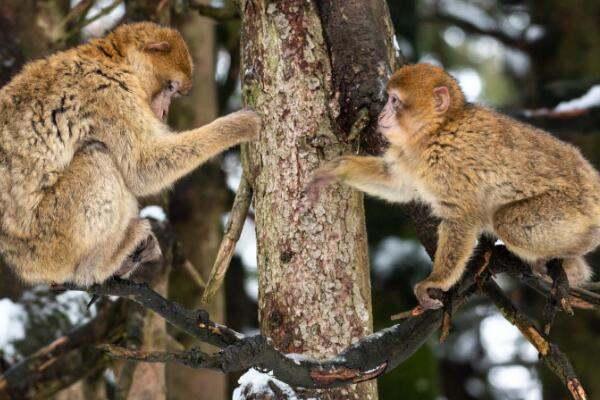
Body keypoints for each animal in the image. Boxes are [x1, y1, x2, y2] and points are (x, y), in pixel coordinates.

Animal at [0, 22, 262, 288]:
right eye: (170, 87)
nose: (164, 111)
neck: (113, 60)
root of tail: (26, 268)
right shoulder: (110, 93)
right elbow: (141, 167)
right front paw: (238, 126)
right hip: (52, 239)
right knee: (98, 156)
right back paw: (97, 265)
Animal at [310, 64, 600, 310]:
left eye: (394, 101)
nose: (381, 114)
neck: (436, 131)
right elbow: (398, 183)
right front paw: (338, 170)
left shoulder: (450, 163)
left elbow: (462, 218)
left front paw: (436, 281)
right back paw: (575, 270)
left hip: (573, 211)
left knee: (507, 223)